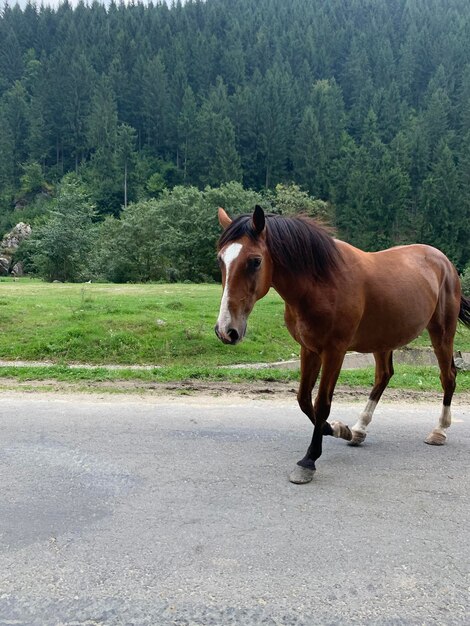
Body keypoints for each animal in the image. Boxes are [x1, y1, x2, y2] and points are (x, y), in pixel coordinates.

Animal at [216, 205, 470, 482]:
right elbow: (304, 400)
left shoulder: (334, 352)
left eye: (255, 261)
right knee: (384, 376)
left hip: (441, 332)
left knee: (448, 376)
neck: (321, 284)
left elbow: (322, 403)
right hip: (383, 339)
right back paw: (359, 429)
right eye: (221, 259)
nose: (226, 330)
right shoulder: (309, 349)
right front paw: (340, 429)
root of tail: (444, 261)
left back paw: (440, 430)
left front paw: (309, 460)